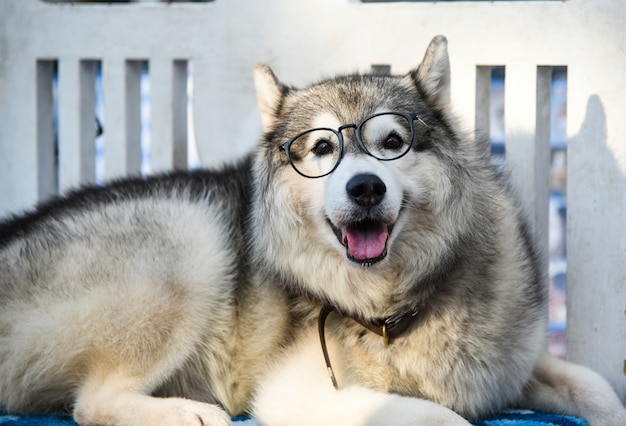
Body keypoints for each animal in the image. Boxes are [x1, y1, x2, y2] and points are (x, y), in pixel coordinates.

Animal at [1, 36, 624, 426]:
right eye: (322, 149)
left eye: (392, 142)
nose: (366, 187)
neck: (391, 310)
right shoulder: (298, 394)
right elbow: (440, 415)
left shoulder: (518, 366)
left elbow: (596, 385)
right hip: (191, 235)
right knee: (91, 402)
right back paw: (185, 412)